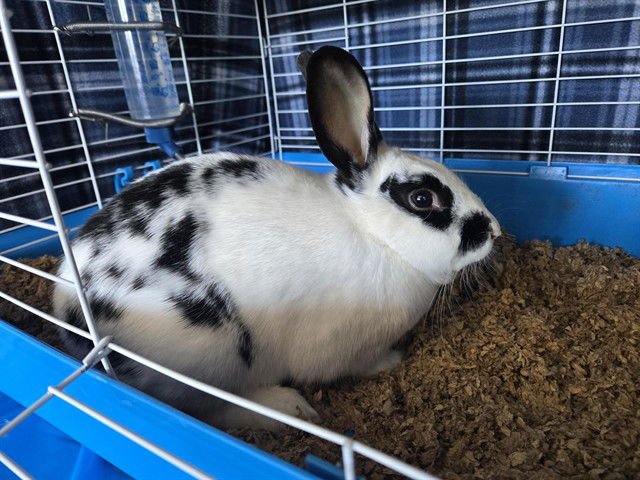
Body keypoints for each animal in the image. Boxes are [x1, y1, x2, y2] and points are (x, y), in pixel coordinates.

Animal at [53, 46, 500, 431]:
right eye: (422, 198)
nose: (494, 231)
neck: (374, 234)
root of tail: (68, 309)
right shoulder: (342, 348)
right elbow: (357, 364)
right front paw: (393, 360)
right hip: (207, 351)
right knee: (210, 406)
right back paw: (289, 408)